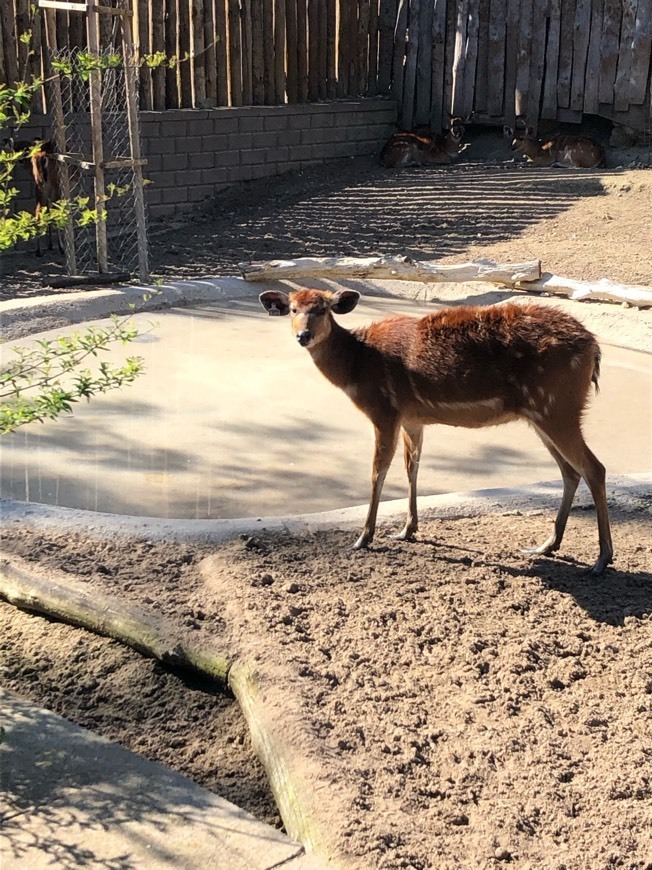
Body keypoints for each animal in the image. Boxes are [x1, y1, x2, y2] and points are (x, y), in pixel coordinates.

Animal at [260, 290, 612, 576]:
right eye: (293, 309)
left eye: (322, 309)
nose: (303, 335)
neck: (357, 366)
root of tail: (594, 347)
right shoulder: (412, 417)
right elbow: (412, 467)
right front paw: (407, 529)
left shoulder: (384, 410)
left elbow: (377, 471)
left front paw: (364, 537)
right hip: (540, 414)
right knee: (570, 470)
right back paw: (547, 545)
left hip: (557, 405)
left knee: (594, 467)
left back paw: (601, 559)